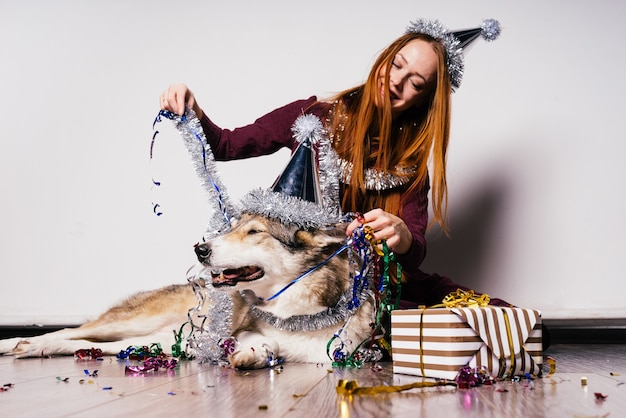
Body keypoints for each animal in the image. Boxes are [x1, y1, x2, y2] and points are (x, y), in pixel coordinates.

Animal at [0, 214, 372, 368]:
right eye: (233, 227)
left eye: (254, 232)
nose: (200, 249)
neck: (294, 311)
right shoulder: (241, 331)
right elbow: (263, 341)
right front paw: (251, 352)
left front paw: (252, 356)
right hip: (136, 322)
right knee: (69, 331)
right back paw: (18, 343)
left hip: (162, 339)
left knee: (93, 344)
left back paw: (33, 349)